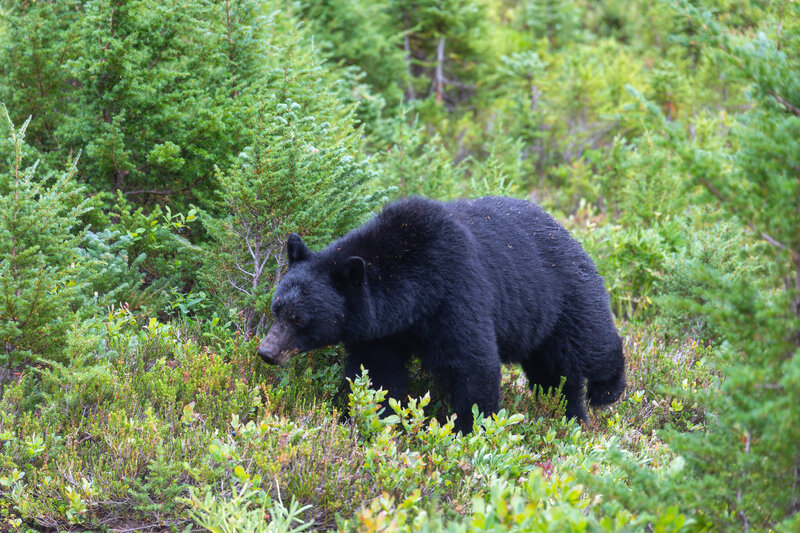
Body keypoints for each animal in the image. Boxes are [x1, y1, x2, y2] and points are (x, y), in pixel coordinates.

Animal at [256, 195, 624, 432]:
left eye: (299, 319)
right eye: (277, 309)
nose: (267, 352)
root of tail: (567, 230)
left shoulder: (455, 293)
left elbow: (472, 364)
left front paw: (471, 429)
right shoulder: (380, 331)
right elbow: (376, 374)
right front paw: (371, 420)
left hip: (562, 294)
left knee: (591, 343)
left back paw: (606, 391)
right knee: (552, 375)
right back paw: (570, 415)